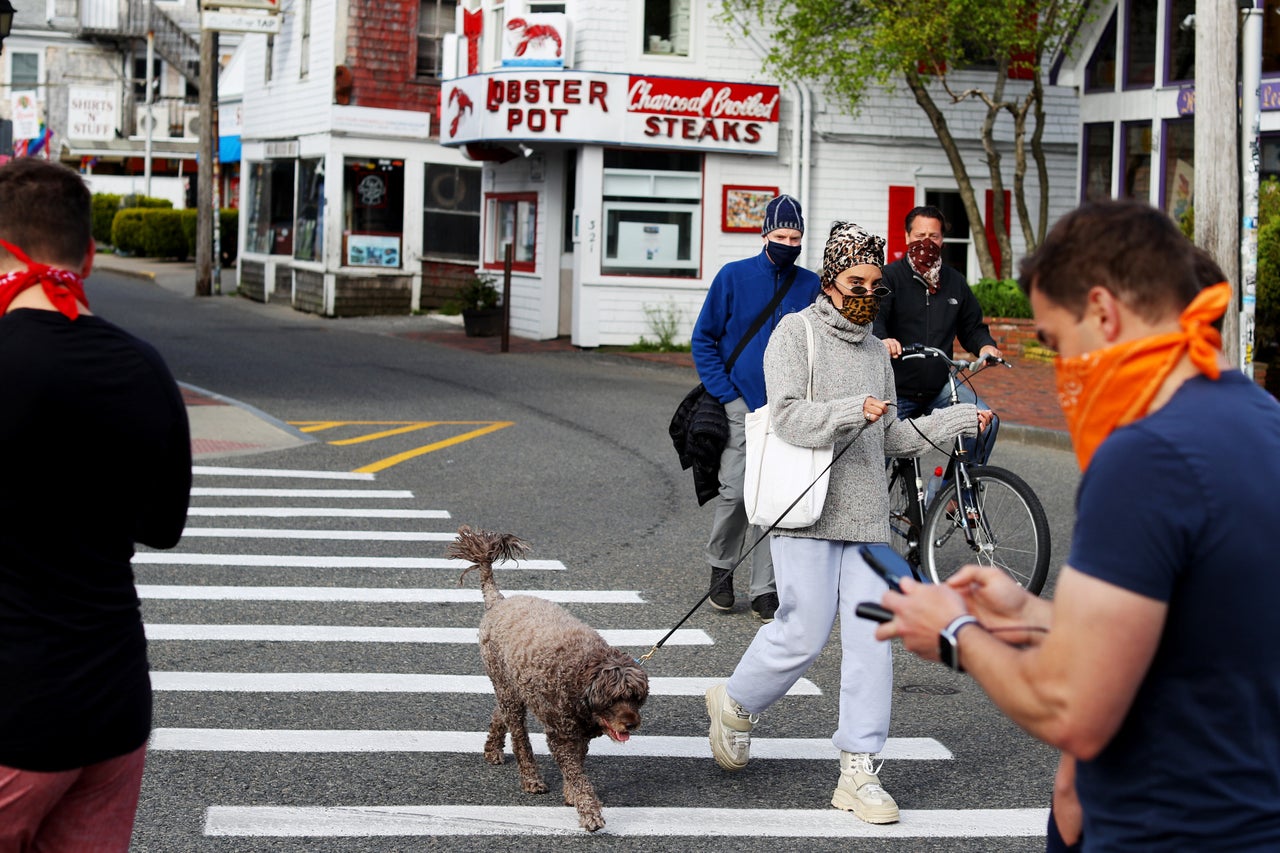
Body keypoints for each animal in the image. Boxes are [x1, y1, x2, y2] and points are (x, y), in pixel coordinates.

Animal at [453, 522, 650, 824]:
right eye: (613, 699)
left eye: (636, 698)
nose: (631, 724)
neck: (583, 674)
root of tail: (498, 601)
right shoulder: (560, 735)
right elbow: (577, 774)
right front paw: (589, 812)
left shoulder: (579, 734)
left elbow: (577, 764)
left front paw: (570, 795)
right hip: (505, 684)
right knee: (519, 738)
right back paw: (531, 779)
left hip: (513, 686)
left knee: (500, 713)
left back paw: (492, 748)